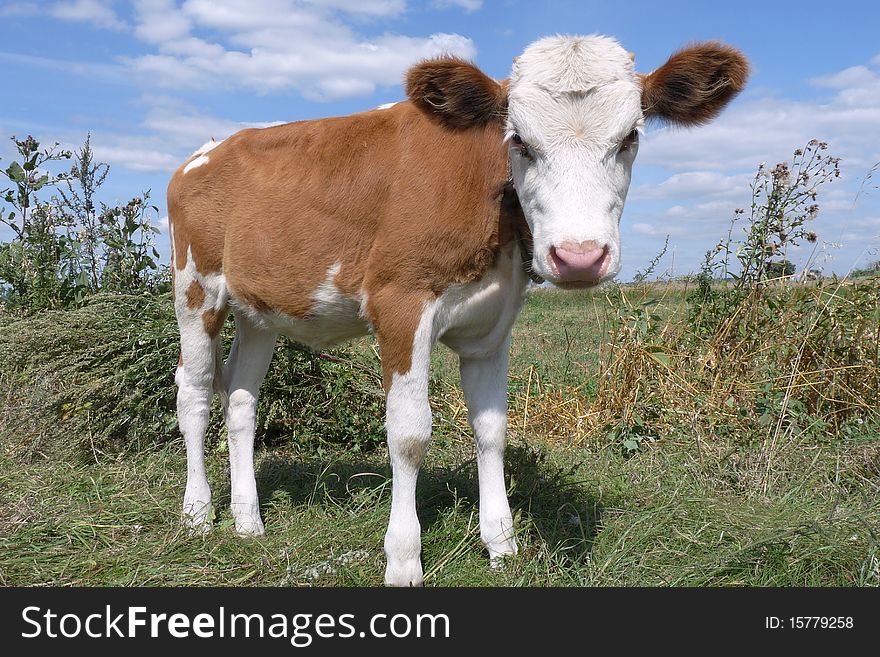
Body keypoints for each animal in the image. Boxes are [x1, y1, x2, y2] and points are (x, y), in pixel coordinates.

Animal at [168, 34, 744, 584]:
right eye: (520, 141)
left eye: (630, 137)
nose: (579, 257)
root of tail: (211, 149)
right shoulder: (399, 304)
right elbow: (409, 434)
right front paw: (403, 560)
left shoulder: (493, 326)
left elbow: (492, 429)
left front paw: (502, 544)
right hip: (195, 288)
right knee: (194, 393)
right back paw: (198, 514)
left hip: (259, 309)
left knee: (241, 399)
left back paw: (248, 521)